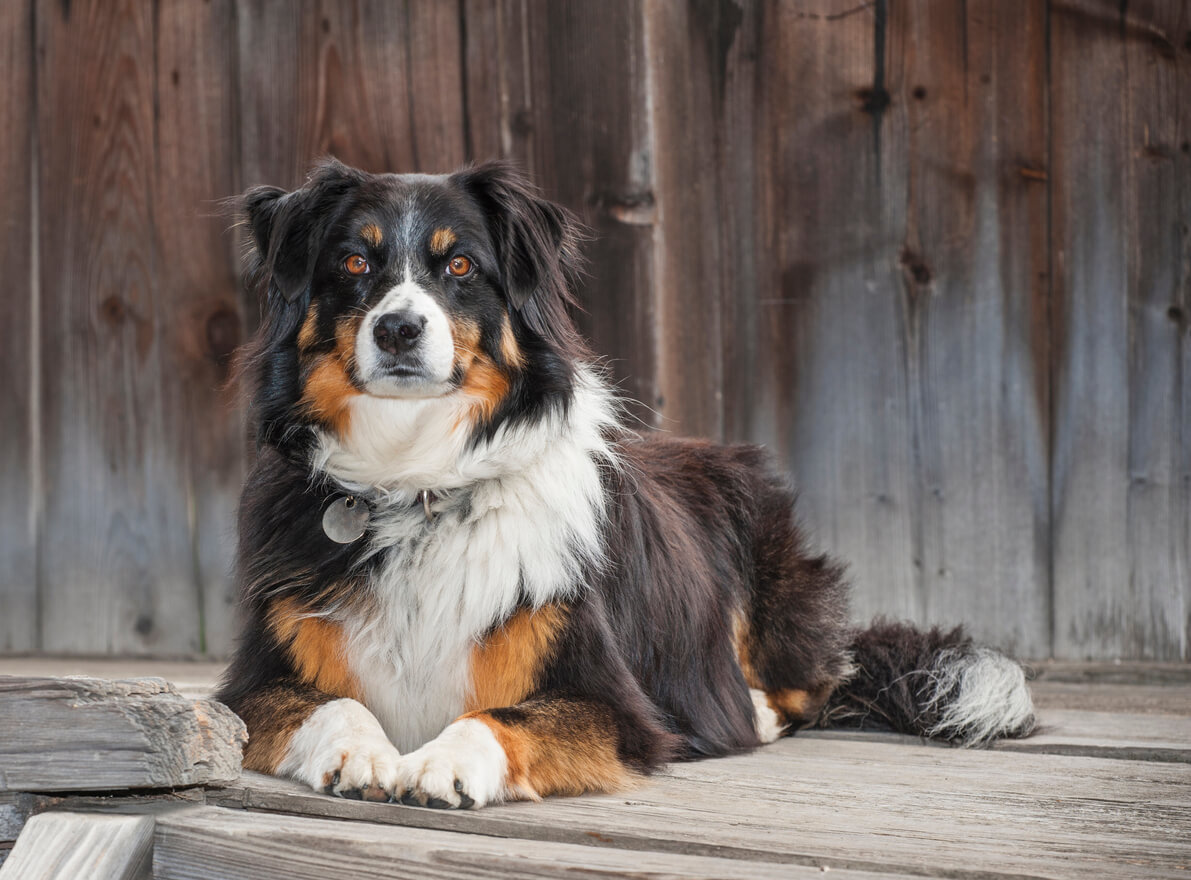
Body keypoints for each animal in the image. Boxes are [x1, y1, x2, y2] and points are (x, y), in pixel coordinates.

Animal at [219, 159, 1038, 814]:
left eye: (460, 269)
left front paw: (442, 762)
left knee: (813, 682)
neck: (416, 481)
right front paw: (362, 753)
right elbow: (331, 705)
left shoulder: (616, 705)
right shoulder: (249, 686)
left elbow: (499, 717)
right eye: (355, 264)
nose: (397, 330)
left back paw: (751, 710)